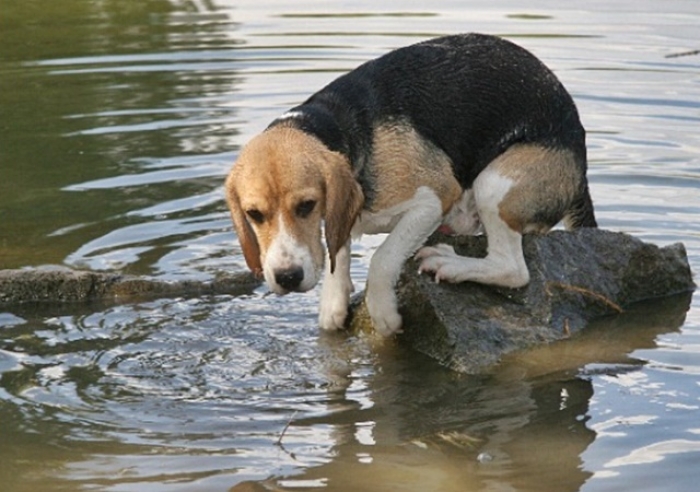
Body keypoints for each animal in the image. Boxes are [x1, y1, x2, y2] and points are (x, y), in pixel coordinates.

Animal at [226, 32, 596, 336]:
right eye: (254, 214)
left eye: (307, 206)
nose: (287, 277)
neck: (337, 125)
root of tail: (581, 171)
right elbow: (337, 246)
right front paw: (333, 301)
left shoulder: (433, 200)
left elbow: (383, 258)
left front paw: (383, 314)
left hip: (494, 184)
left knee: (513, 270)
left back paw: (452, 264)